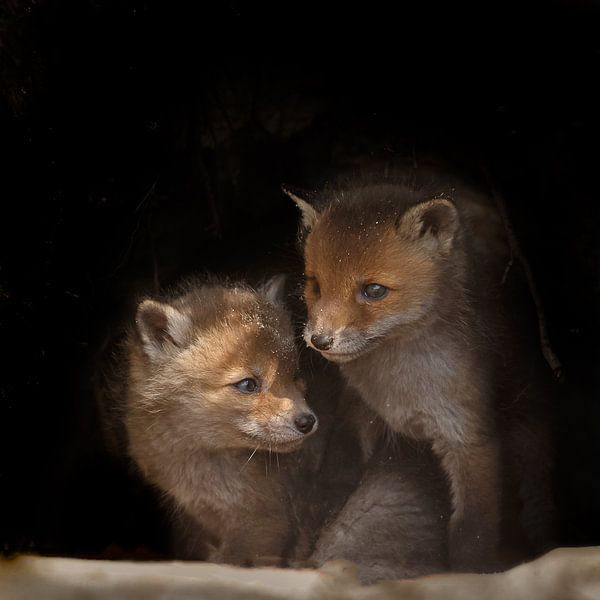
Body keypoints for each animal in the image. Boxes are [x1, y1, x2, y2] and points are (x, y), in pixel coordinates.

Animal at [288, 166, 556, 568]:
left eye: (374, 290)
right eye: (315, 284)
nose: (319, 340)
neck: (402, 391)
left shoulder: (470, 439)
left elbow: (472, 531)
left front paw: (467, 573)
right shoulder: (359, 410)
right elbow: (333, 479)